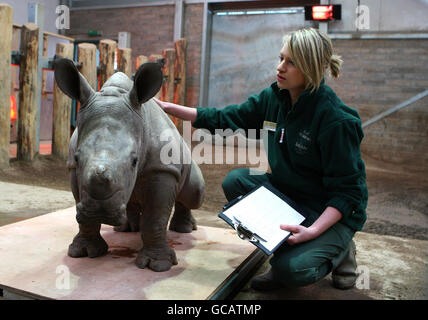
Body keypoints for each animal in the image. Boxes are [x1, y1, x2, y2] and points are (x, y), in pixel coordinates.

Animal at [54, 58, 205, 272]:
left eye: (134, 161)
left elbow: (155, 217)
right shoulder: (74, 170)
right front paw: (82, 252)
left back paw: (184, 229)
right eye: (77, 158)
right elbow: (80, 203)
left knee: (194, 194)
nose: (99, 212)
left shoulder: (162, 169)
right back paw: (125, 229)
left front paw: (157, 265)